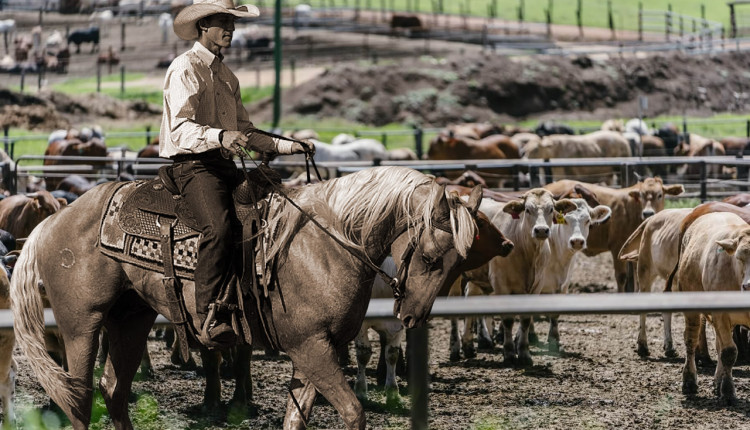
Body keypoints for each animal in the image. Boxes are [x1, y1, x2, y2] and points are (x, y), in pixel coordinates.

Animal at [11, 166, 484, 430]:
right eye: (429, 256)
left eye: (457, 262)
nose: (414, 315)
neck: (325, 243)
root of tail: (53, 220)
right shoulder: (311, 347)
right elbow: (353, 412)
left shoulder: (314, 350)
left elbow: (296, 418)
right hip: (81, 326)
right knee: (80, 398)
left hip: (130, 319)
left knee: (113, 390)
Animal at [548, 177, 688, 292]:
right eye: (641, 196)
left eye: (660, 195)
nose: (648, 213)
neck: (632, 210)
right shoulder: (617, 247)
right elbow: (621, 276)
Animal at [680, 212, 750, 406]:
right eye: (739, 258)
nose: (748, 285)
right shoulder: (721, 314)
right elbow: (728, 353)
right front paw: (728, 392)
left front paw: (722, 386)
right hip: (692, 309)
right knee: (691, 340)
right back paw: (689, 381)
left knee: (719, 346)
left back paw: (717, 382)